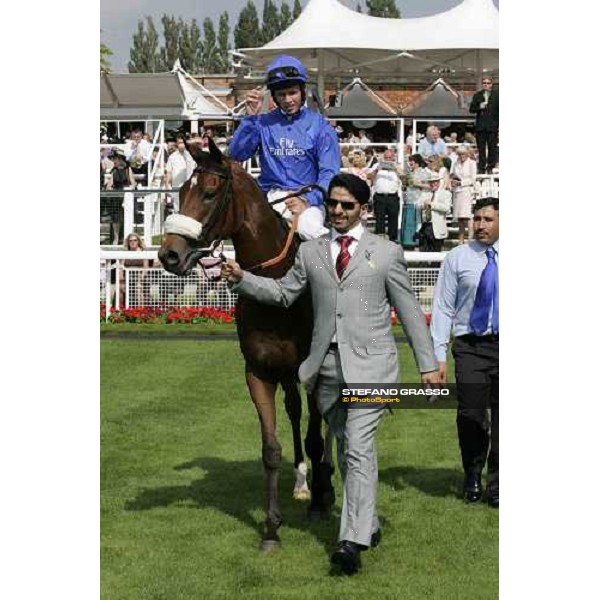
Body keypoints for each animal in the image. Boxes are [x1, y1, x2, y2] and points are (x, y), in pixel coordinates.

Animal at [157, 138, 336, 552]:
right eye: (181, 191)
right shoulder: (258, 370)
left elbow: (316, 437)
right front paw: (271, 528)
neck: (277, 287)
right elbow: (270, 449)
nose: (169, 254)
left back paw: (324, 482)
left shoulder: (314, 371)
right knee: (292, 410)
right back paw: (301, 482)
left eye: (209, 193)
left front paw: (319, 504)